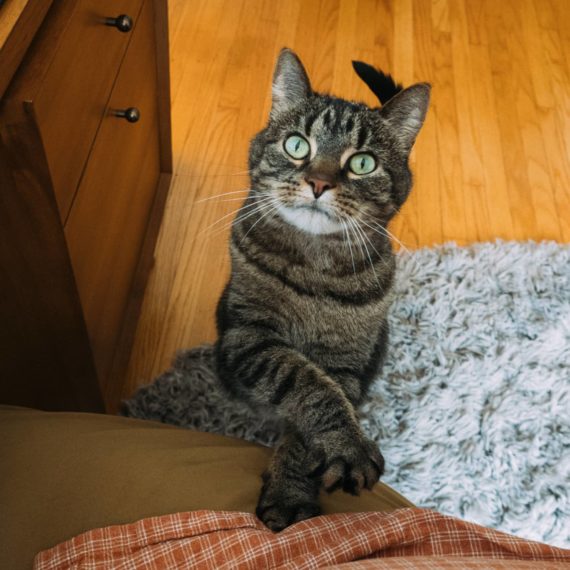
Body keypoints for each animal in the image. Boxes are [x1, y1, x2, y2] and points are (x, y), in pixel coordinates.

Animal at [215, 47, 428, 528]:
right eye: (297, 145)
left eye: (363, 162)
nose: (319, 183)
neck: (314, 269)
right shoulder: (248, 336)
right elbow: (303, 380)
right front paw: (347, 448)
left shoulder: (347, 360)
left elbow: (313, 412)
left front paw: (292, 492)